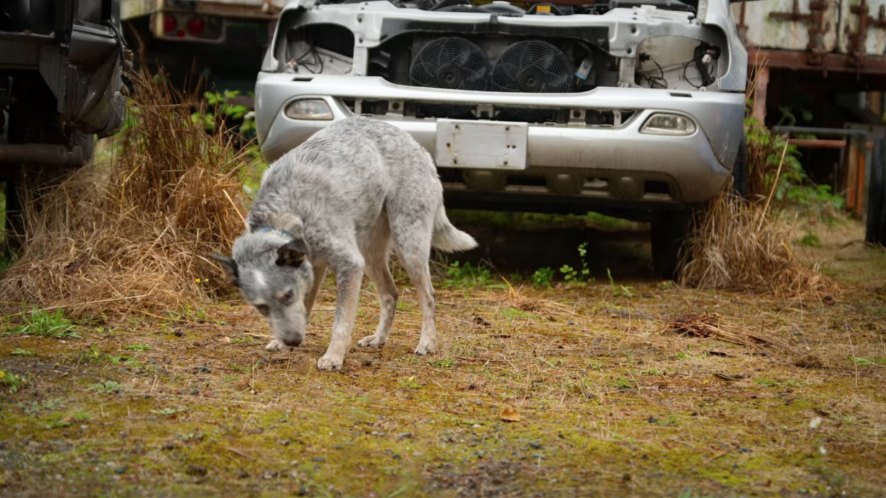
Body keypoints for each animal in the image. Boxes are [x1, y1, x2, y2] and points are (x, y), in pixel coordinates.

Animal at [216, 115, 478, 370]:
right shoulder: (316, 267)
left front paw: (333, 357)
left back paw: (426, 343)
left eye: (288, 295)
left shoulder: (349, 265)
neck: (285, 212)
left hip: (408, 247)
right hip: (370, 257)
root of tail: (416, 144)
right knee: (391, 294)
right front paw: (283, 344)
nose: (292, 341)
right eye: (262, 307)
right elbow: (306, 308)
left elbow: (340, 322)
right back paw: (378, 339)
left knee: (429, 297)